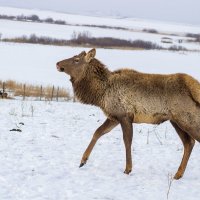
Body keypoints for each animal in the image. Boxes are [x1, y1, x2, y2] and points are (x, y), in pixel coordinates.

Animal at [56, 48, 200, 180]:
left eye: (76, 60)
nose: (57, 63)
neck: (101, 94)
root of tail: (194, 87)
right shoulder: (114, 117)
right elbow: (98, 132)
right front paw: (83, 161)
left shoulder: (125, 116)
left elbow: (127, 141)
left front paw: (127, 169)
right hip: (175, 120)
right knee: (189, 143)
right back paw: (178, 174)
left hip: (187, 119)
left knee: (191, 141)